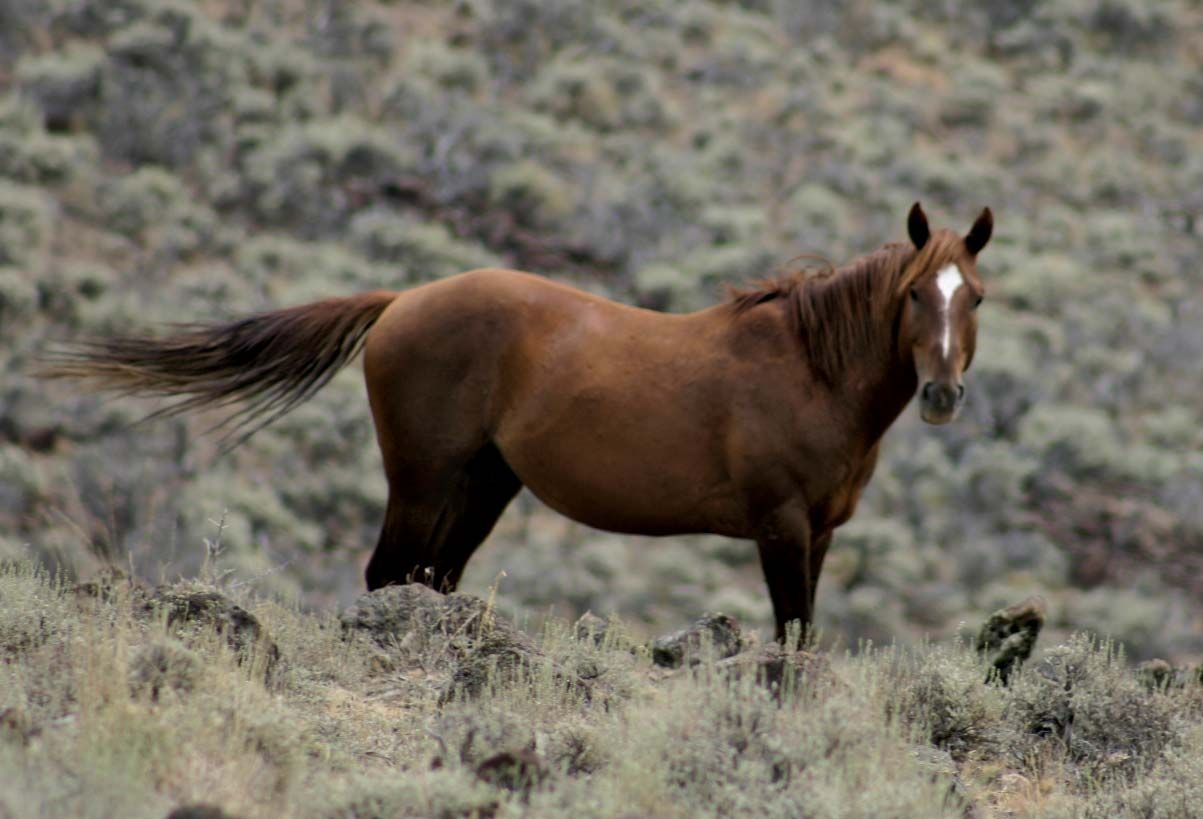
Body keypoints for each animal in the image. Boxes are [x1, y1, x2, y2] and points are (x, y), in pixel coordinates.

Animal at [42, 202, 992, 641]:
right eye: (915, 293)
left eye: (975, 295)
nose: (941, 395)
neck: (805, 366)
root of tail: (402, 300)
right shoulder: (781, 527)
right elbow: (789, 635)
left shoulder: (819, 532)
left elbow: (804, 635)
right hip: (422, 479)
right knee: (388, 576)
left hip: (484, 486)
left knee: (429, 578)